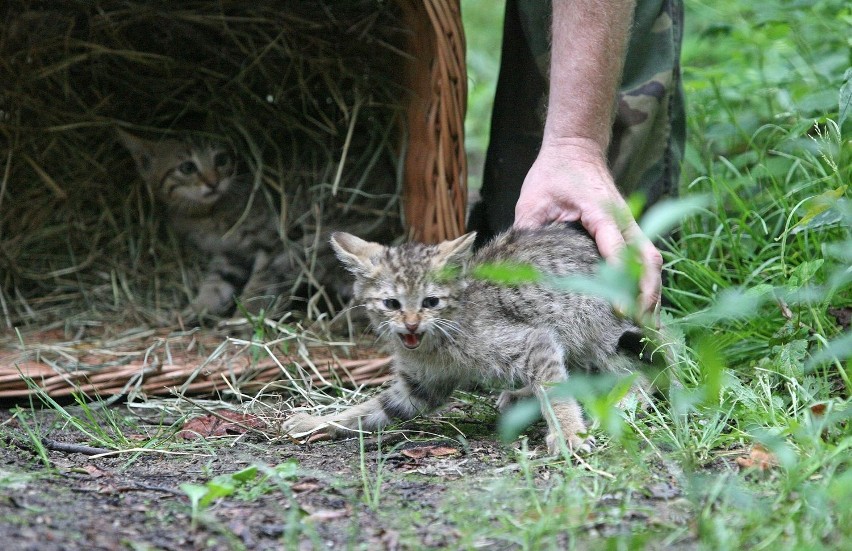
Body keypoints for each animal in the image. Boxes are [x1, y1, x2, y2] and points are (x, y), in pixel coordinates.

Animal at [118, 130, 294, 320]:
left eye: (222, 159)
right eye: (188, 167)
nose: (213, 183)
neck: (207, 215)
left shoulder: (273, 243)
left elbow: (260, 284)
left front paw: (247, 316)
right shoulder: (230, 254)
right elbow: (216, 284)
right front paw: (198, 307)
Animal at [282, 223, 644, 452]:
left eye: (431, 302)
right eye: (392, 304)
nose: (411, 325)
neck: (435, 345)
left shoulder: (535, 341)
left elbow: (556, 391)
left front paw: (569, 433)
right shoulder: (419, 387)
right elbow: (371, 409)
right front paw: (316, 421)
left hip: (597, 329)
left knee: (640, 368)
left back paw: (624, 400)